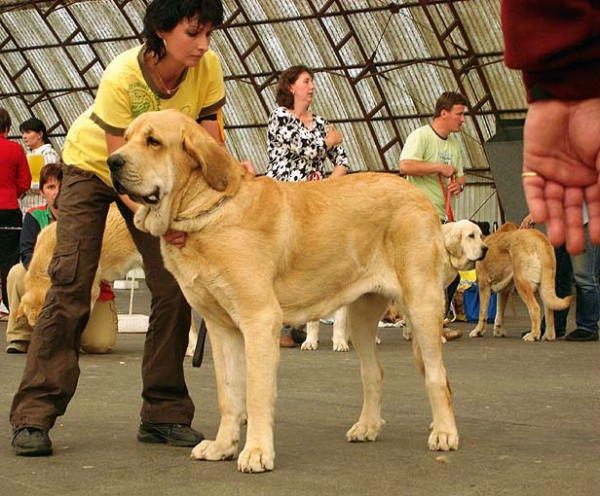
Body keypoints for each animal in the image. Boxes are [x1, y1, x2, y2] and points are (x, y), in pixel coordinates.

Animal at [106, 108, 460, 472]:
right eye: (126, 137)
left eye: (153, 141)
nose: (111, 161)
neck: (204, 208)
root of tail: (420, 198)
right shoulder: (221, 329)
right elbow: (228, 393)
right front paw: (222, 445)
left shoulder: (259, 319)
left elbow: (255, 392)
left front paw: (257, 452)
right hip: (361, 317)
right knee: (373, 371)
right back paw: (367, 426)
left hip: (422, 304)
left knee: (437, 374)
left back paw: (444, 433)